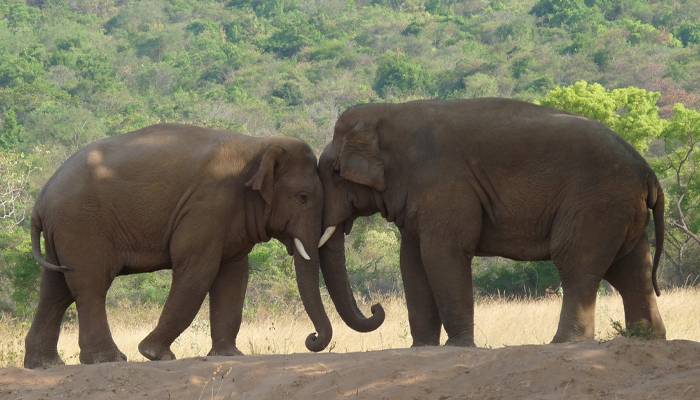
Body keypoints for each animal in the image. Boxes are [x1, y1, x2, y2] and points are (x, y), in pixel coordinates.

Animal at [26, 122, 344, 368]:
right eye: (303, 197)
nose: (312, 339)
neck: (257, 144)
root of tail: (41, 201)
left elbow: (234, 277)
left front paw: (229, 355)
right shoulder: (207, 206)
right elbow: (197, 271)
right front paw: (155, 354)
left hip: (64, 233)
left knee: (55, 290)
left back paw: (45, 364)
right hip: (82, 225)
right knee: (90, 286)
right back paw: (109, 359)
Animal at [318, 99, 668, 346]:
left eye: (334, 171)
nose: (376, 308)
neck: (391, 112)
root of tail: (648, 172)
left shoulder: (445, 184)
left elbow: (443, 254)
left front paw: (458, 347)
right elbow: (412, 261)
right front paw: (422, 348)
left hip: (596, 204)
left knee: (576, 263)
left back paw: (564, 343)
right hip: (621, 209)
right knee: (630, 270)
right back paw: (645, 338)